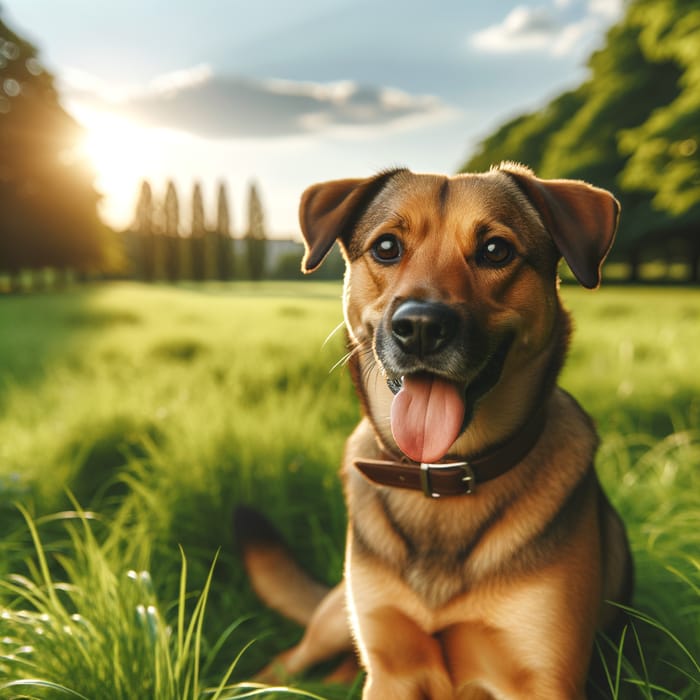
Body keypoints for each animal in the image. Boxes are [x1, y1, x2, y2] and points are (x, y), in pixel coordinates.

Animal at [238, 165, 632, 700]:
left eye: (495, 250)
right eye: (387, 247)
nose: (421, 327)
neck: (443, 477)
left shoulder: (544, 679)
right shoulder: (389, 671)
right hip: (335, 623)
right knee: (287, 661)